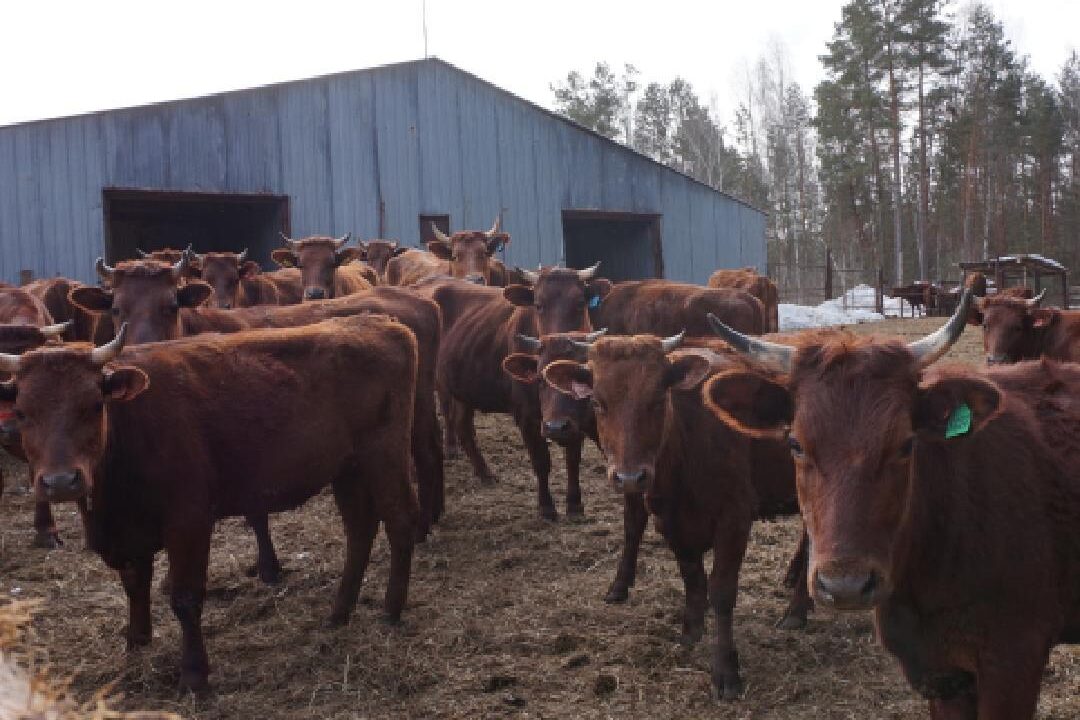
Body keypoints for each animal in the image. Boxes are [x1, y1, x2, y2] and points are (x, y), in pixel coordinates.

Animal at [0, 319, 419, 690]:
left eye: (93, 405)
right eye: (22, 412)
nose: (59, 482)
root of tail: (384, 324)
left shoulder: (189, 522)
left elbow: (186, 597)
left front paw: (194, 674)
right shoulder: (128, 531)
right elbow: (134, 585)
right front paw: (137, 643)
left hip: (384, 453)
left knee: (400, 521)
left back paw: (391, 611)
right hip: (347, 468)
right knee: (360, 531)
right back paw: (339, 612)